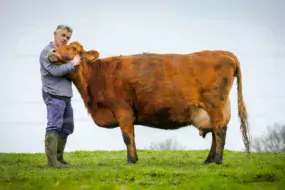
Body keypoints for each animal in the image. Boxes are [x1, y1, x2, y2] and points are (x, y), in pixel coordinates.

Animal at [47, 41, 251, 165]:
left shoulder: (123, 109)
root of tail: (225, 53)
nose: (52, 51)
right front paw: (135, 158)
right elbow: (130, 136)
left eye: (74, 49)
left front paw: (131, 160)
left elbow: (127, 136)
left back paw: (217, 160)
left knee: (219, 131)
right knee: (217, 131)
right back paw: (209, 160)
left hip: (215, 103)